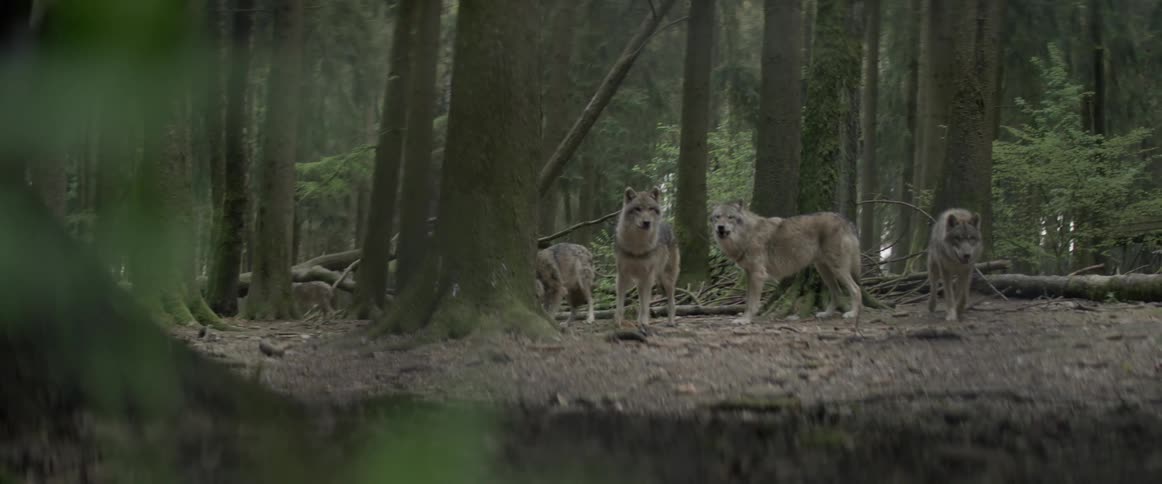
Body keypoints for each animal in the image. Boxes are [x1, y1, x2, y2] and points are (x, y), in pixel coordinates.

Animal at [614, 187, 680, 329]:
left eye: (650, 209)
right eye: (637, 209)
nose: (646, 222)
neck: (637, 246)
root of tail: (668, 225)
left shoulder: (648, 277)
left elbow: (645, 305)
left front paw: (645, 323)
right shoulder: (622, 276)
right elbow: (620, 305)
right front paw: (618, 323)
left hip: (666, 279)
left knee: (672, 302)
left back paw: (671, 322)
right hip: (640, 281)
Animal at [710, 202, 863, 328]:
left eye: (730, 217)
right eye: (717, 217)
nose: (720, 227)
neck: (747, 235)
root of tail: (845, 220)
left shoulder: (758, 274)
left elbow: (751, 303)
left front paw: (745, 320)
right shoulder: (749, 273)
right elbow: (749, 301)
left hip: (837, 268)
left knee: (856, 289)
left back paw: (853, 314)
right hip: (823, 270)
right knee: (837, 292)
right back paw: (826, 314)